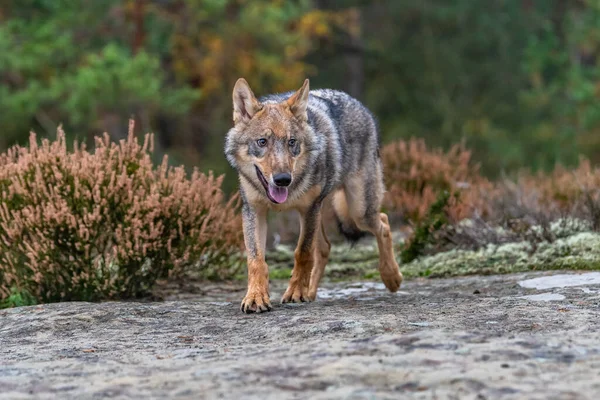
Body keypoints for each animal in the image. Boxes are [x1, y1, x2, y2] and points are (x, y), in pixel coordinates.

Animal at [225, 78, 404, 312]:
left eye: (292, 142)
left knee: (383, 223)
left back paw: (391, 277)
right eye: (262, 141)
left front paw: (295, 292)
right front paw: (256, 297)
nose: (283, 179)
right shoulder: (254, 211)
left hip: (358, 212)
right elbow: (256, 260)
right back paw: (310, 291)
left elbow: (302, 253)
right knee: (326, 247)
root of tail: (357, 103)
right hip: (330, 213)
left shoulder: (308, 209)